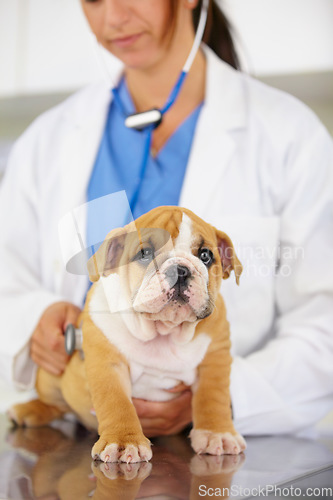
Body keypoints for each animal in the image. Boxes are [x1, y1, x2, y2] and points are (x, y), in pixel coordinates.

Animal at [9, 205, 245, 462]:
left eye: (205, 256)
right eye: (145, 253)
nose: (180, 270)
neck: (162, 330)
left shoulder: (215, 360)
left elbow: (214, 399)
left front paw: (218, 433)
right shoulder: (108, 364)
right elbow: (117, 403)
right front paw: (123, 441)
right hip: (50, 376)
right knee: (58, 404)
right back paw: (27, 410)